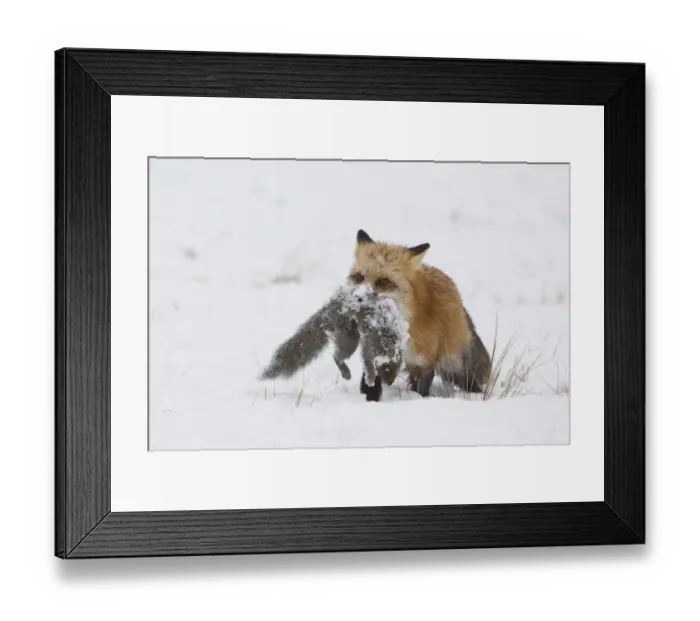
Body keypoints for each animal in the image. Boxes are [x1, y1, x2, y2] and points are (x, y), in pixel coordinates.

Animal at [260, 284, 407, 401]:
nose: (389, 382)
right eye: (383, 370)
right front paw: (370, 379)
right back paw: (345, 370)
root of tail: (334, 304)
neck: (388, 344)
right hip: (348, 333)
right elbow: (367, 363)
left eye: (397, 370)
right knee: (337, 356)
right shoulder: (369, 347)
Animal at [348, 229, 492, 397]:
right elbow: (370, 382)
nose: (358, 297)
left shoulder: (422, 362)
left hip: (453, 365)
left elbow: (420, 389)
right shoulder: (375, 354)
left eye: (383, 281)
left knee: (469, 381)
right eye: (359, 277)